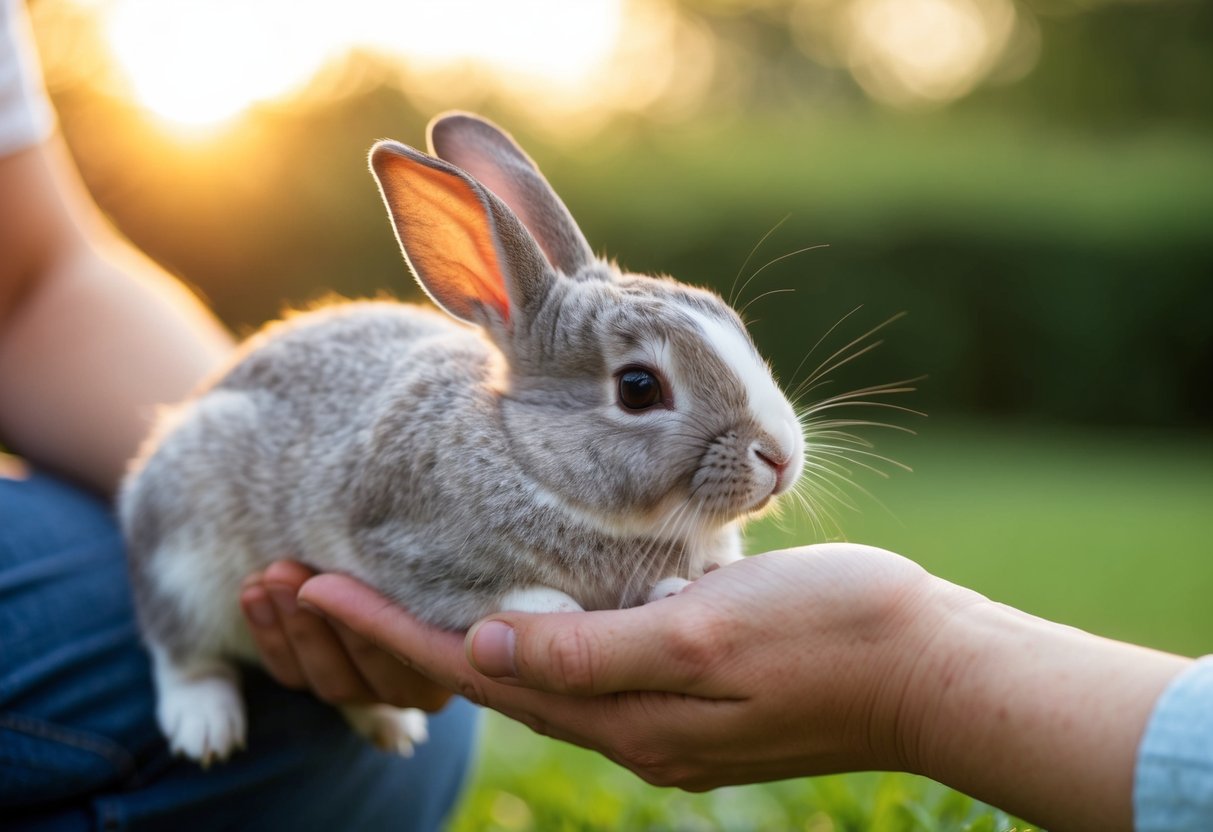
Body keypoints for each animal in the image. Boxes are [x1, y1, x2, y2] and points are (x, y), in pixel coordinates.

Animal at [119, 112, 806, 766]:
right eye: (638, 388)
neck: (529, 460)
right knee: (180, 648)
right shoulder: (405, 551)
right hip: (184, 545)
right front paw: (557, 610)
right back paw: (206, 731)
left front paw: (672, 589)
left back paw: (390, 727)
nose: (779, 456)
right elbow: (498, 595)